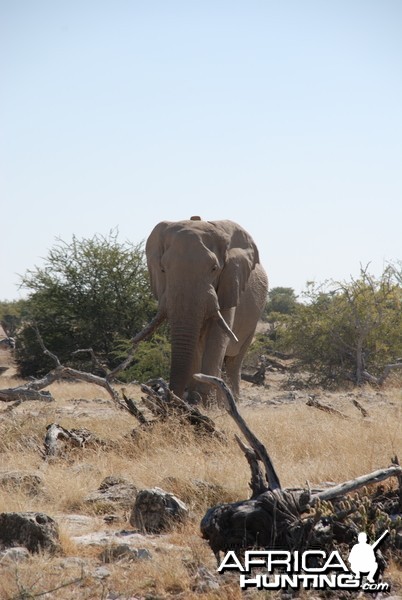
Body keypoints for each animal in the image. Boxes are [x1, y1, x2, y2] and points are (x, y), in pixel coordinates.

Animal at [146, 216, 268, 404]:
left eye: (214, 269)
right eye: (163, 269)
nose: (170, 398)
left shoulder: (229, 283)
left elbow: (218, 336)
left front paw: (205, 402)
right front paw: (194, 399)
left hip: (255, 319)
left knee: (234, 360)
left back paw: (230, 401)